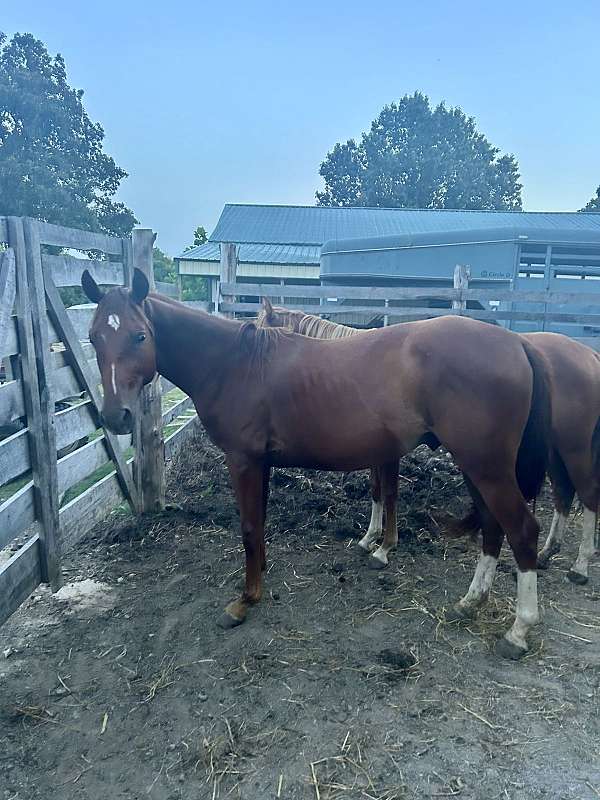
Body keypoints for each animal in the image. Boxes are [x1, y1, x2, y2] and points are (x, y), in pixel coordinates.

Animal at [82, 268, 551, 659]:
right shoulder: (262, 463)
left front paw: (244, 601)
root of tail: (519, 343)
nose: (116, 416)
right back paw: (471, 602)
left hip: (486, 466)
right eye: (93, 337)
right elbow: (260, 523)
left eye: (140, 336)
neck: (233, 363)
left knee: (521, 530)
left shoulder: (243, 461)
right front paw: (261, 577)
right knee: (492, 525)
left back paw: (518, 631)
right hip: (477, 466)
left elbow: (248, 527)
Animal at [258, 300, 600, 585]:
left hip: (570, 449)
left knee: (586, 494)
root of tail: (522, 345)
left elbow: (389, 494)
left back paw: (579, 566)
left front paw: (384, 547)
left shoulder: (388, 454)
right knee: (563, 494)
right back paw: (548, 552)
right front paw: (370, 538)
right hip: (550, 453)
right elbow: (376, 492)